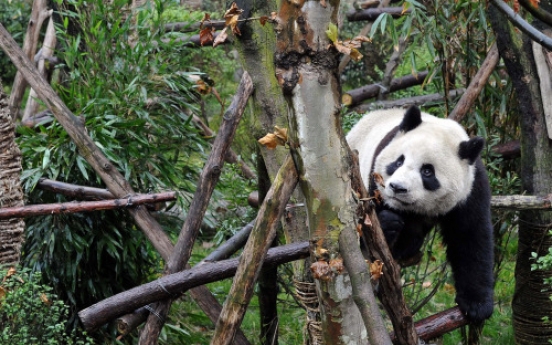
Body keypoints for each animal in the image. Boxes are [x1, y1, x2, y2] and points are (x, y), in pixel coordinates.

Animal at [348, 104, 494, 322]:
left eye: (427, 171)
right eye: (398, 162)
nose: (397, 188)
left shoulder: (471, 188)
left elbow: (471, 236)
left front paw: (477, 305)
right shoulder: (372, 181)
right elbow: (372, 236)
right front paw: (388, 224)